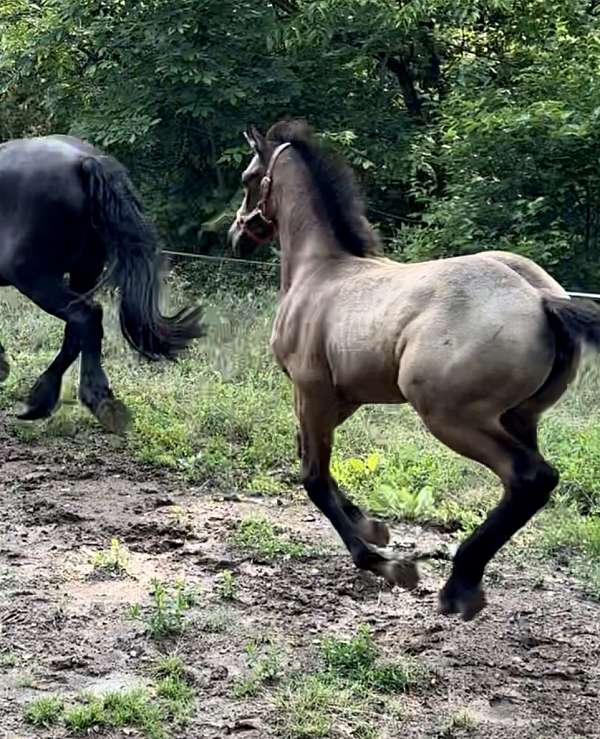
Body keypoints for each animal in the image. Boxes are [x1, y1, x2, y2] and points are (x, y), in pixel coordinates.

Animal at [0, 137, 204, 434]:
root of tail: (85, 161)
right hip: (84, 271)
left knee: (87, 316)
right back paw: (43, 400)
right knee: (77, 328)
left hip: (35, 277)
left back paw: (97, 398)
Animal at [230, 120, 600, 620]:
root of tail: (541, 298)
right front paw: (371, 526)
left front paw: (382, 561)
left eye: (249, 177)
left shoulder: (312, 391)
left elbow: (313, 476)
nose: (236, 234)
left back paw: (459, 586)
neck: (319, 272)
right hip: (520, 416)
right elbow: (309, 456)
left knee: (531, 477)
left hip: (450, 416)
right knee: (526, 483)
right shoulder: (342, 396)